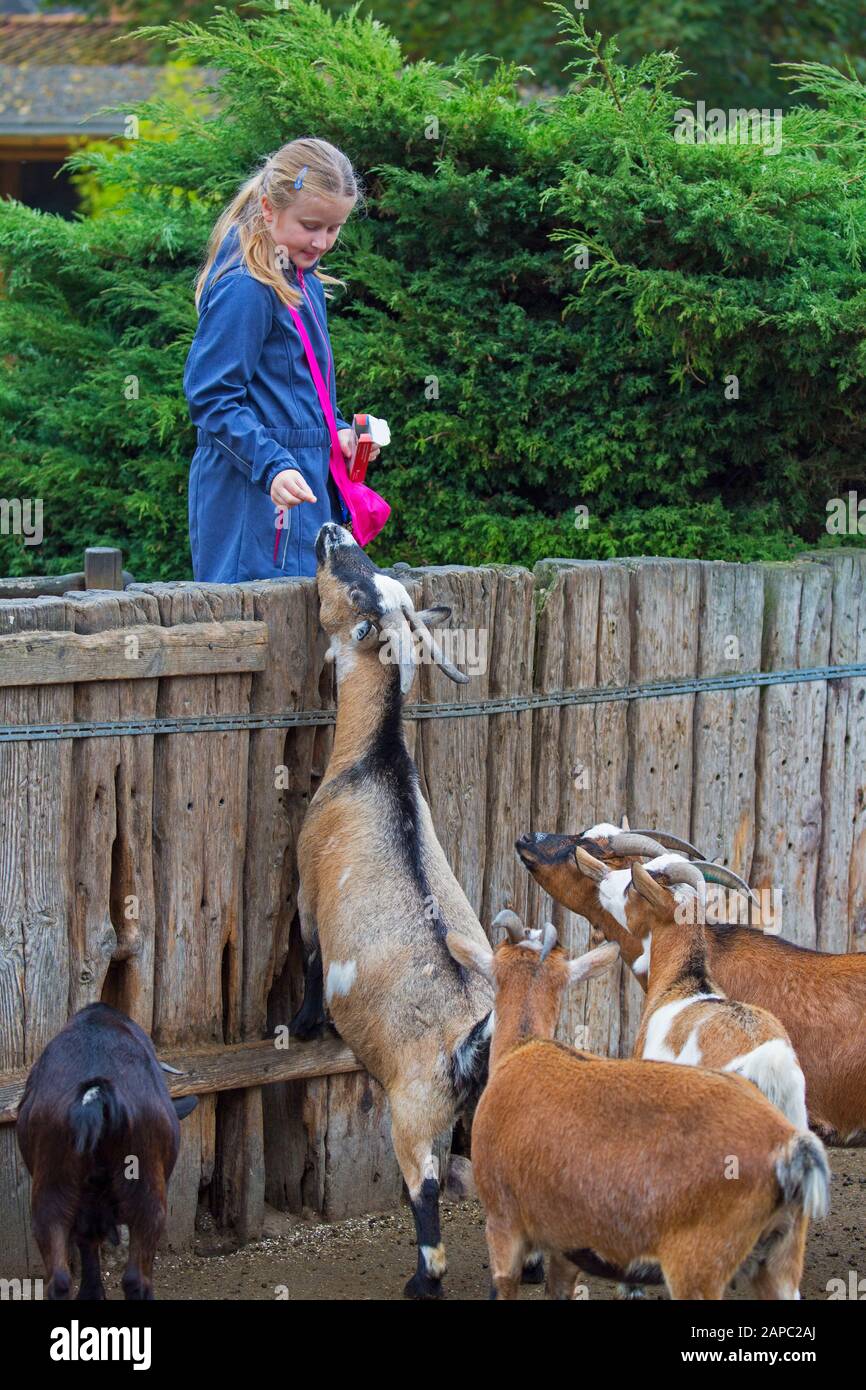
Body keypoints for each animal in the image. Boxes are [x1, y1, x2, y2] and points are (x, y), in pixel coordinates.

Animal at [289, 522, 494, 1301]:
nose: (331, 529)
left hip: (413, 1113)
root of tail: (474, 1043)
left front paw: (303, 1025)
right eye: (367, 568)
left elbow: (309, 957)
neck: (372, 765)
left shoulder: (306, 883)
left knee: (427, 1201)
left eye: (354, 585)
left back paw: (419, 1283)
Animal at [450, 911, 828, 1301]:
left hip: (697, 1268)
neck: (522, 1049)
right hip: (779, 1261)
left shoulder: (504, 1225)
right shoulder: (568, 1248)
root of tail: (792, 1149)